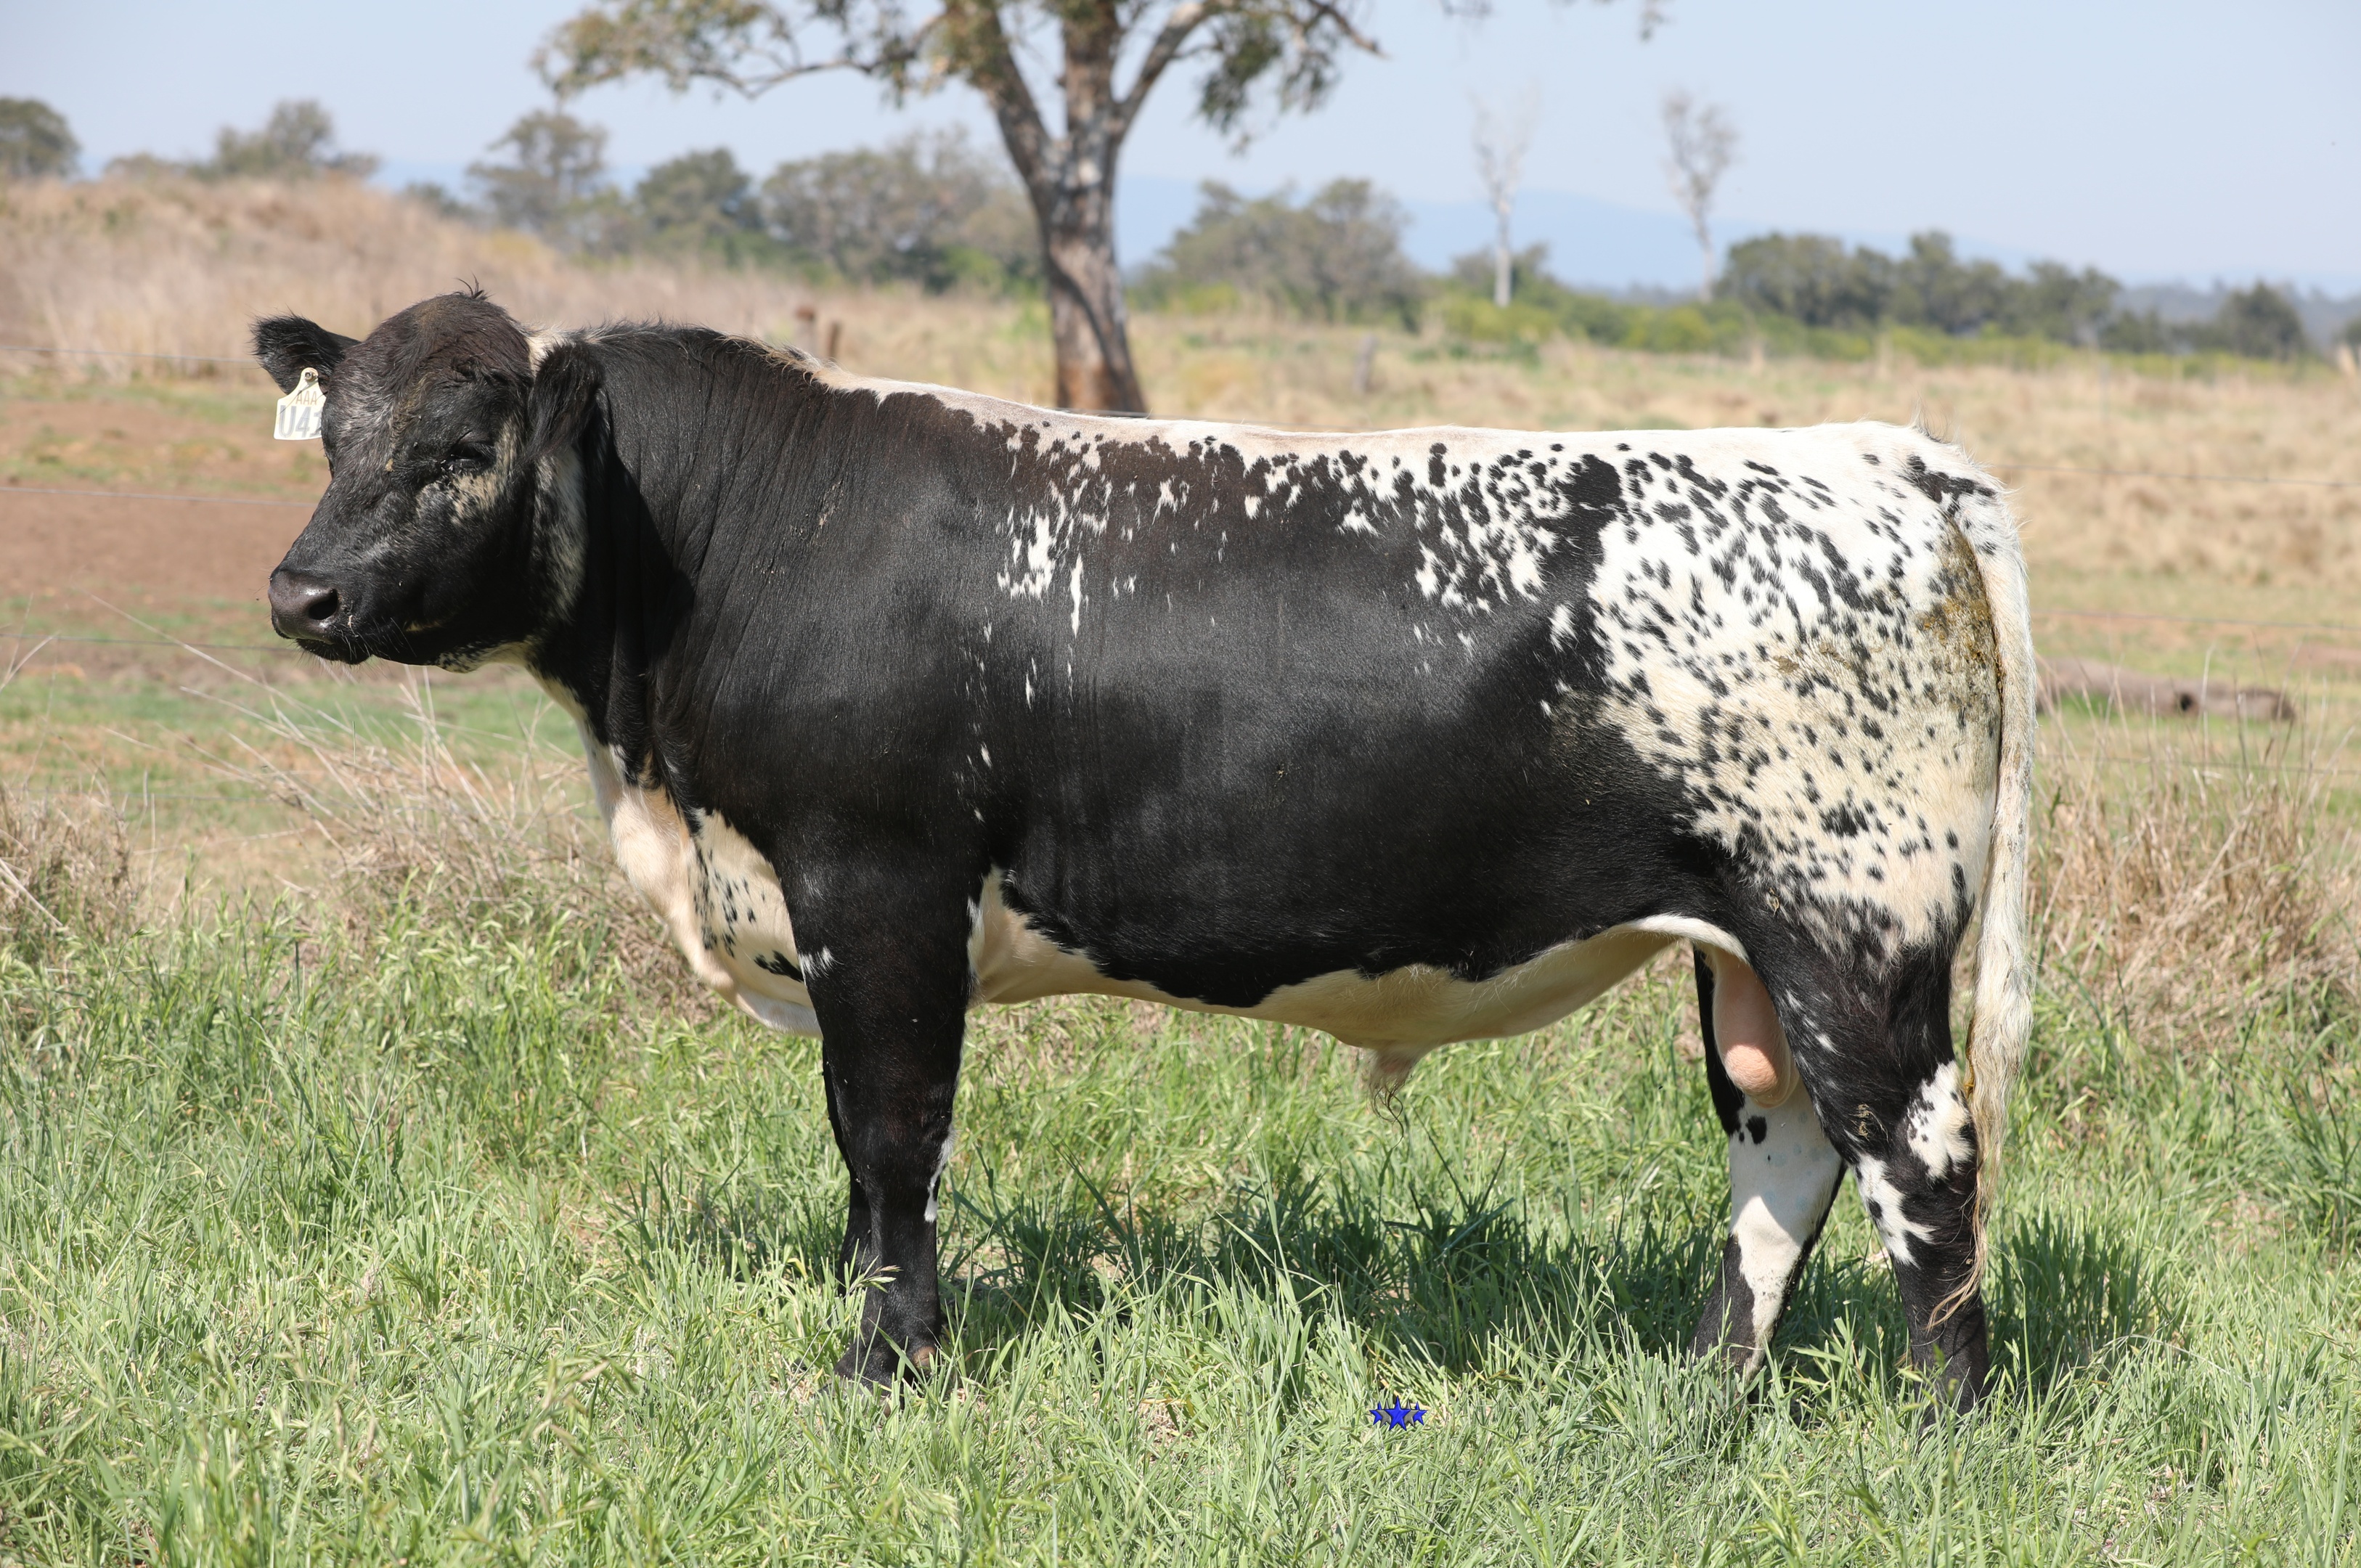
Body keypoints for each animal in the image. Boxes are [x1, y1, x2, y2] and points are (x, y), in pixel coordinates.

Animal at [256, 291, 2035, 1408]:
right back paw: (1706, 1396)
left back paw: (1943, 1422)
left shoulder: (879, 895)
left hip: (1851, 927)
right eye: (333, 441)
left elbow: (888, 1139)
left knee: (1920, 1159)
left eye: (461, 452)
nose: (300, 592)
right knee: (1786, 1157)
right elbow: (864, 1154)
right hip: (1751, 958)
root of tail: (1866, 453)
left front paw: (884, 1367)